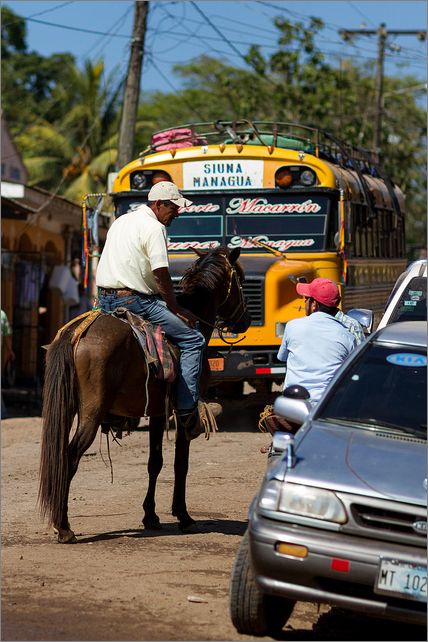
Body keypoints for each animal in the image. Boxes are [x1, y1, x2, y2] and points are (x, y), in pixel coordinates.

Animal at [38, 245, 251, 540]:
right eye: (240, 280)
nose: (246, 320)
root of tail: (73, 334)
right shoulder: (182, 413)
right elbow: (180, 464)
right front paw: (184, 516)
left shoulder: (158, 411)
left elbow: (155, 462)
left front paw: (150, 515)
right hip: (90, 415)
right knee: (69, 457)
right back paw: (64, 526)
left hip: (67, 408)